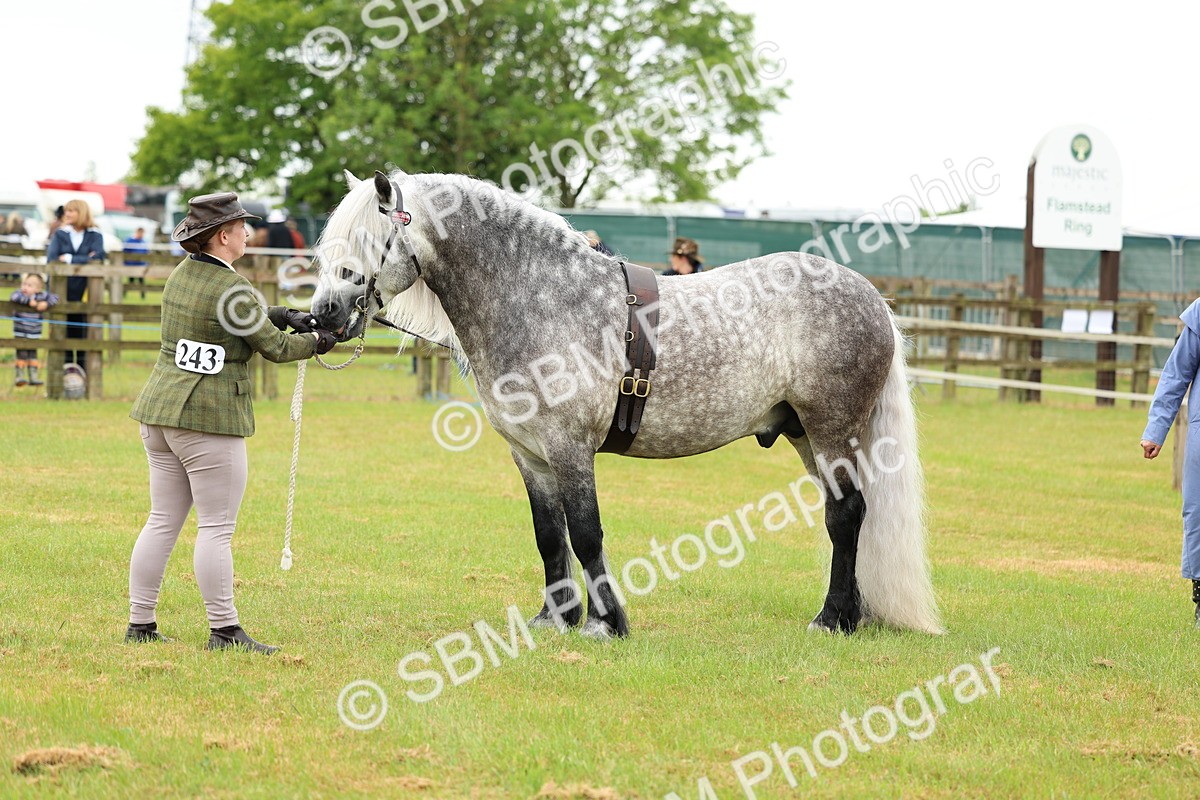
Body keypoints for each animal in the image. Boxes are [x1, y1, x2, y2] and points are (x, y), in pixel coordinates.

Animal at [310, 169, 942, 639]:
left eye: (367, 239)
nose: (324, 314)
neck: (542, 296)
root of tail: (869, 296)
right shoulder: (531, 456)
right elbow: (550, 536)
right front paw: (555, 619)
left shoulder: (570, 449)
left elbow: (586, 533)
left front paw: (606, 624)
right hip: (808, 435)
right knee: (849, 514)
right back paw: (852, 615)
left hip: (833, 429)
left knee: (846, 515)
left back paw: (832, 620)